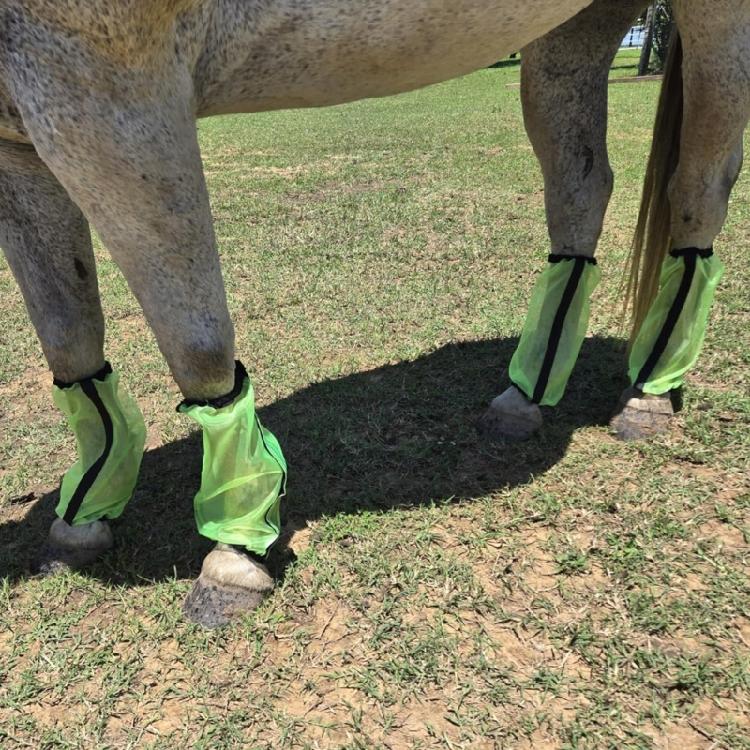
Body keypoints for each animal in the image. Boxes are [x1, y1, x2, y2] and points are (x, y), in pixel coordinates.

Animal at [0, 0, 747, 626]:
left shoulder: (108, 87)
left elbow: (200, 348)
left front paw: (236, 551)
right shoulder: (22, 139)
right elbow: (69, 342)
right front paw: (85, 513)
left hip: (716, 21)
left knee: (701, 186)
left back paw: (650, 394)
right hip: (576, 27)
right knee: (581, 185)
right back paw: (526, 395)